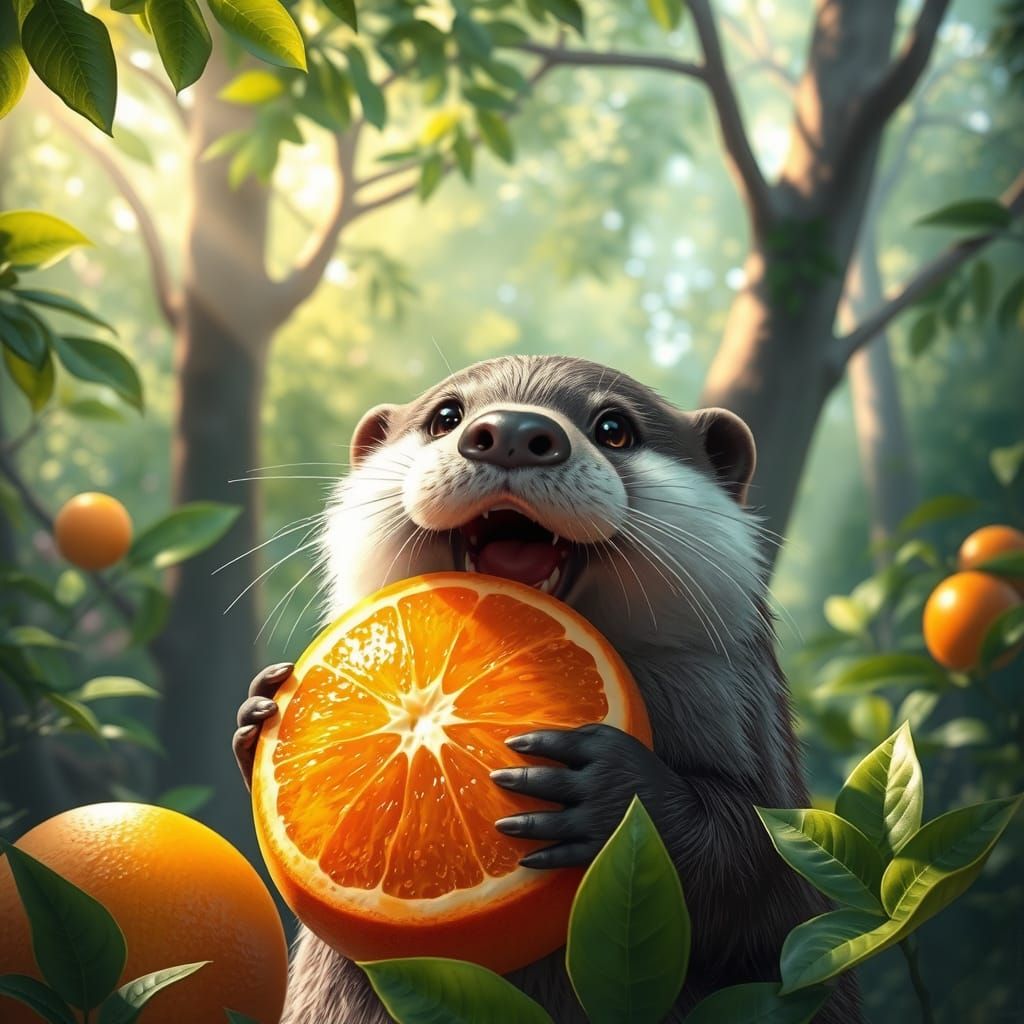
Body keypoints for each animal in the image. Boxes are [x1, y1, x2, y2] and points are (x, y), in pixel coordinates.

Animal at [233, 355, 860, 1023]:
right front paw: (260, 707)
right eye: (446, 415)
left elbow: (758, 861)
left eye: (614, 428)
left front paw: (608, 787)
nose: (511, 431)